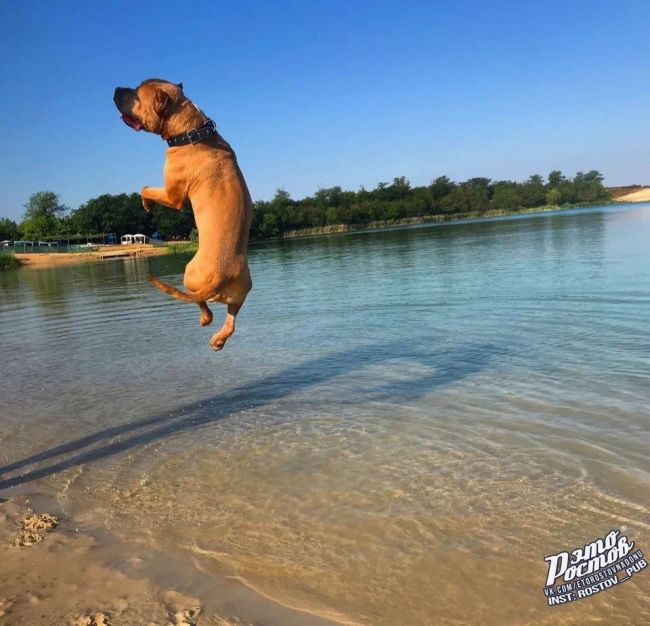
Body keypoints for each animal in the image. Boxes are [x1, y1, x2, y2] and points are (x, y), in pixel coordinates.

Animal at [114, 78, 251, 348]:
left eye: (136, 95)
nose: (115, 89)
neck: (192, 131)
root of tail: (222, 275)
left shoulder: (172, 195)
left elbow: (145, 188)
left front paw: (147, 204)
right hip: (242, 290)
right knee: (230, 319)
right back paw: (218, 340)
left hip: (189, 273)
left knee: (200, 303)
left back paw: (205, 321)